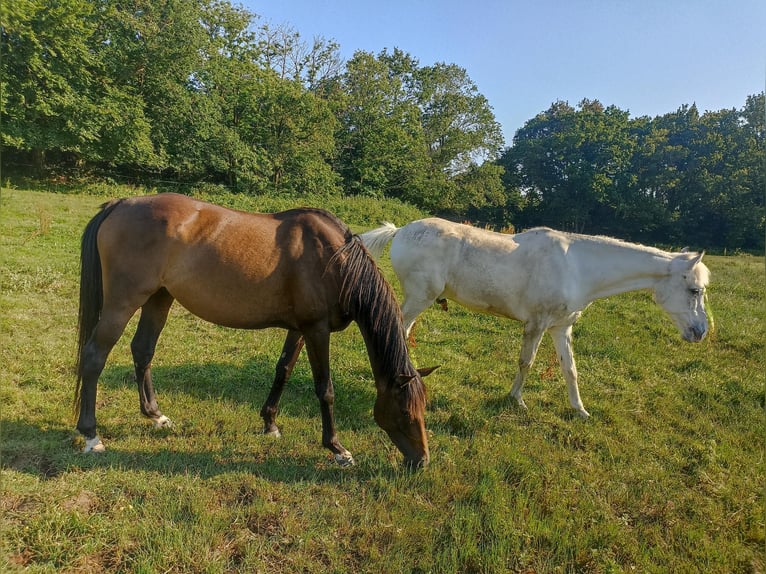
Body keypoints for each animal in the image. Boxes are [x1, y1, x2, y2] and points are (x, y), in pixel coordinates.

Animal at [75, 193, 435, 468]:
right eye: (405, 411)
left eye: (423, 409)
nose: (421, 461)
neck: (335, 260)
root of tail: (121, 203)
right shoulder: (317, 330)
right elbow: (325, 389)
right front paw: (337, 448)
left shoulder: (300, 329)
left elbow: (283, 370)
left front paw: (270, 423)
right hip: (123, 301)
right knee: (94, 356)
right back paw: (91, 435)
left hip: (159, 298)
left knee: (142, 350)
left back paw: (156, 415)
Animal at [361, 219, 711, 418]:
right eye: (694, 290)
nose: (701, 331)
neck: (577, 267)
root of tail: (403, 231)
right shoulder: (537, 325)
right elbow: (525, 362)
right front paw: (517, 400)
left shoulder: (561, 327)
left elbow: (570, 369)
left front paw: (580, 409)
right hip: (419, 297)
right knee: (400, 329)